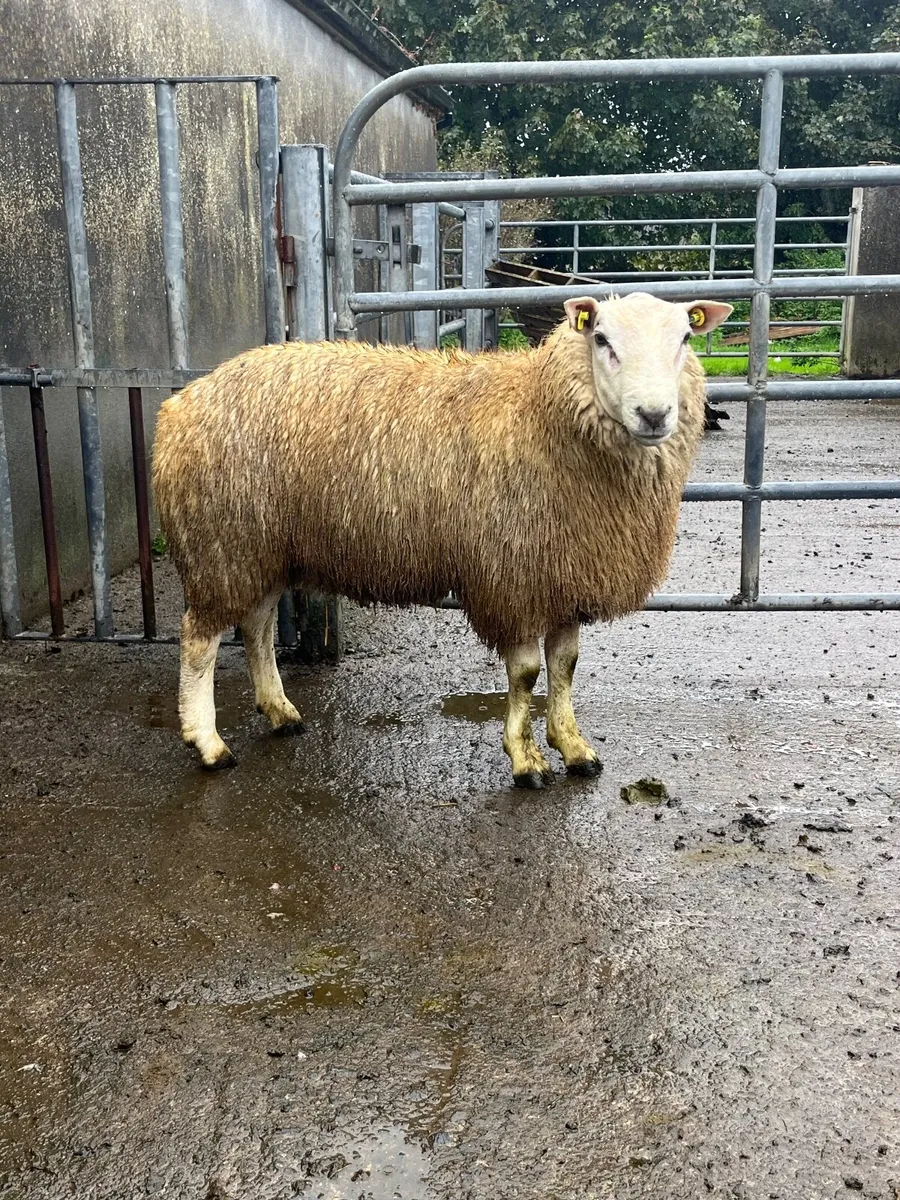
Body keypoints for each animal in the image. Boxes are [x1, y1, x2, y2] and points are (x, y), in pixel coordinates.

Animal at [152, 291, 732, 787]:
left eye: (685, 337)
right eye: (602, 339)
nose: (654, 415)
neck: (542, 413)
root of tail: (181, 404)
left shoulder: (561, 572)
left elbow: (565, 664)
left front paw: (573, 747)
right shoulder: (512, 574)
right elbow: (526, 673)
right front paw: (525, 759)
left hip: (261, 546)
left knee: (256, 626)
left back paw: (279, 711)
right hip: (221, 542)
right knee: (199, 642)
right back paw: (208, 744)